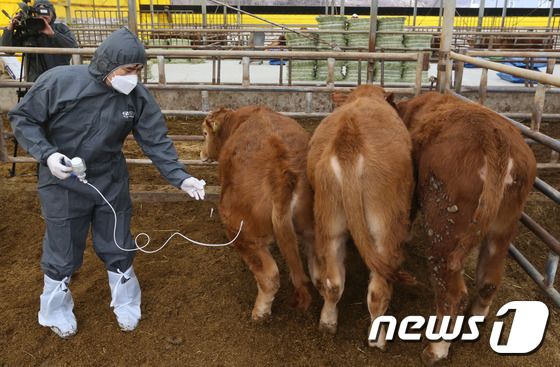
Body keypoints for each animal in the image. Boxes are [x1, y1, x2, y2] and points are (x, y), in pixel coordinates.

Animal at [201, 105, 316, 320]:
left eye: (204, 133)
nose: (202, 154)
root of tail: (281, 171)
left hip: (242, 233)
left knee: (269, 276)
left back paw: (259, 312)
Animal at [306, 84, 412, 350]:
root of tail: (350, 142)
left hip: (330, 219)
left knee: (333, 282)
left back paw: (328, 322)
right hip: (385, 226)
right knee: (378, 290)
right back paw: (379, 340)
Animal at [396, 92, 536, 366]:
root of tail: (495, 138)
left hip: (443, 232)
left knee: (453, 296)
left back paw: (436, 349)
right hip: (503, 228)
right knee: (489, 279)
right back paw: (475, 318)